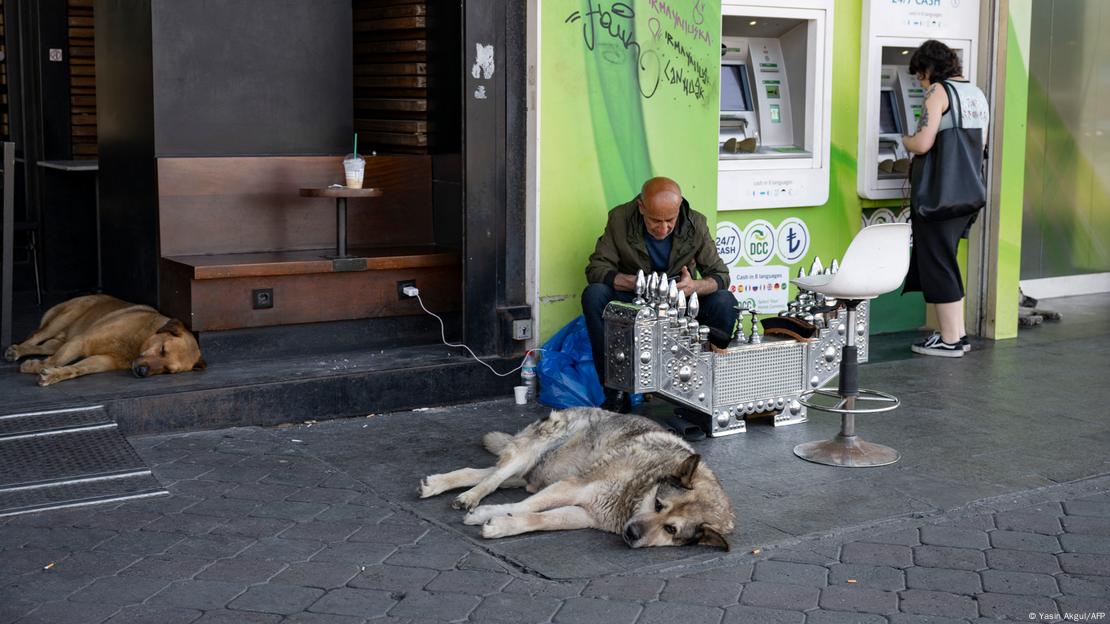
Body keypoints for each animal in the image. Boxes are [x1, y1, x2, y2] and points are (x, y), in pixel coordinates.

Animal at [3, 293, 206, 384]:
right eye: (163, 349)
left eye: (168, 371)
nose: (142, 372)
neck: (136, 344)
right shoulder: (80, 341)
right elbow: (56, 360)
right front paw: (35, 367)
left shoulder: (102, 360)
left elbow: (76, 369)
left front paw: (55, 374)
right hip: (64, 318)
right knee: (35, 337)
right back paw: (16, 350)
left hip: (61, 339)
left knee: (45, 347)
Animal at [419, 408, 732, 548]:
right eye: (658, 505)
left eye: (670, 529)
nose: (631, 534)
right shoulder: (574, 487)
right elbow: (524, 507)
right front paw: (486, 515)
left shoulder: (584, 514)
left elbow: (540, 520)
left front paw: (502, 525)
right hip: (528, 457)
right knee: (491, 479)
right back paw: (468, 498)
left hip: (527, 476)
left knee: (483, 474)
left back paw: (438, 484)